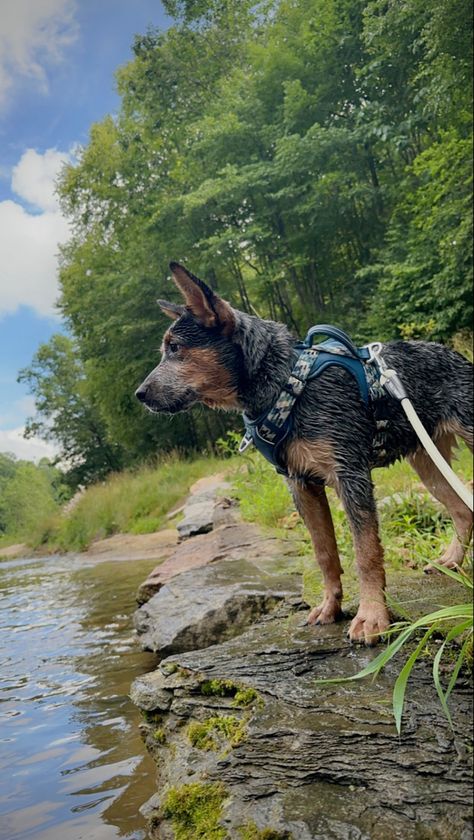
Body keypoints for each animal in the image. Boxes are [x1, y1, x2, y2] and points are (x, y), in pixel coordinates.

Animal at [135, 262, 472, 644]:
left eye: (175, 347)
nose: (140, 394)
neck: (287, 384)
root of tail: (457, 354)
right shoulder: (300, 483)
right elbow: (324, 552)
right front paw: (330, 607)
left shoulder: (350, 474)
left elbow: (366, 552)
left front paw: (372, 617)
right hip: (427, 461)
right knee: (463, 510)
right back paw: (451, 561)